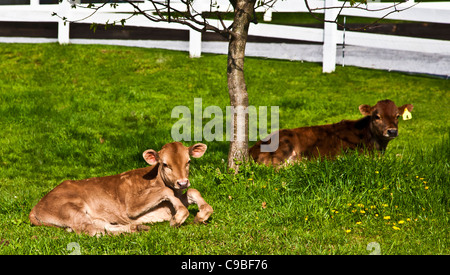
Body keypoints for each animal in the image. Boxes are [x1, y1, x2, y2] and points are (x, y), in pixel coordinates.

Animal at [29, 142, 214, 237]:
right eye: (165, 164)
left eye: (188, 161)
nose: (182, 182)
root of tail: (37, 204)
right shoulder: (130, 207)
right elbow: (167, 193)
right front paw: (179, 217)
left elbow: (192, 191)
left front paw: (202, 214)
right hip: (69, 209)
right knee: (91, 230)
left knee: (99, 225)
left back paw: (136, 228)